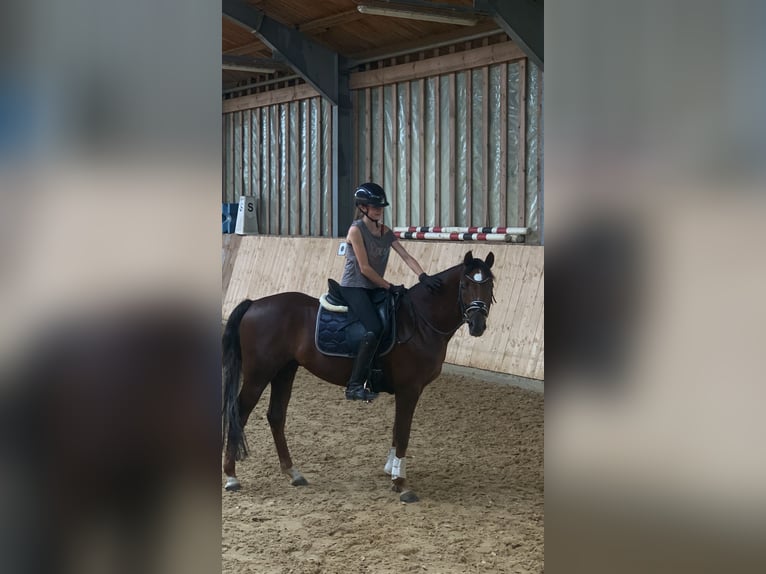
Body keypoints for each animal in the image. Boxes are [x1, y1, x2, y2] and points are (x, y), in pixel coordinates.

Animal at [222, 250, 498, 502]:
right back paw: (232, 477)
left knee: (276, 416)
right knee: (239, 414)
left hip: (284, 371)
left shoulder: (406, 390)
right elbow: (403, 433)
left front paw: (391, 470)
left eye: (490, 284)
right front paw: (401, 484)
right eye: (464, 285)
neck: (419, 321)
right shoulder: (409, 389)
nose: (477, 325)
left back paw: (293, 473)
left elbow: (397, 429)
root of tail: (254, 303)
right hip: (259, 374)